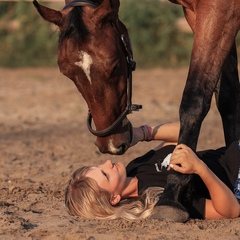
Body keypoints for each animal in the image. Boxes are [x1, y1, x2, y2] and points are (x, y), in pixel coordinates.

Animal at [34, 0, 240, 156]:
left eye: (115, 66)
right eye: (67, 73)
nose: (110, 144)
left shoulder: (219, 10)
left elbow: (194, 102)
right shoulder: (198, 14)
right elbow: (228, 100)